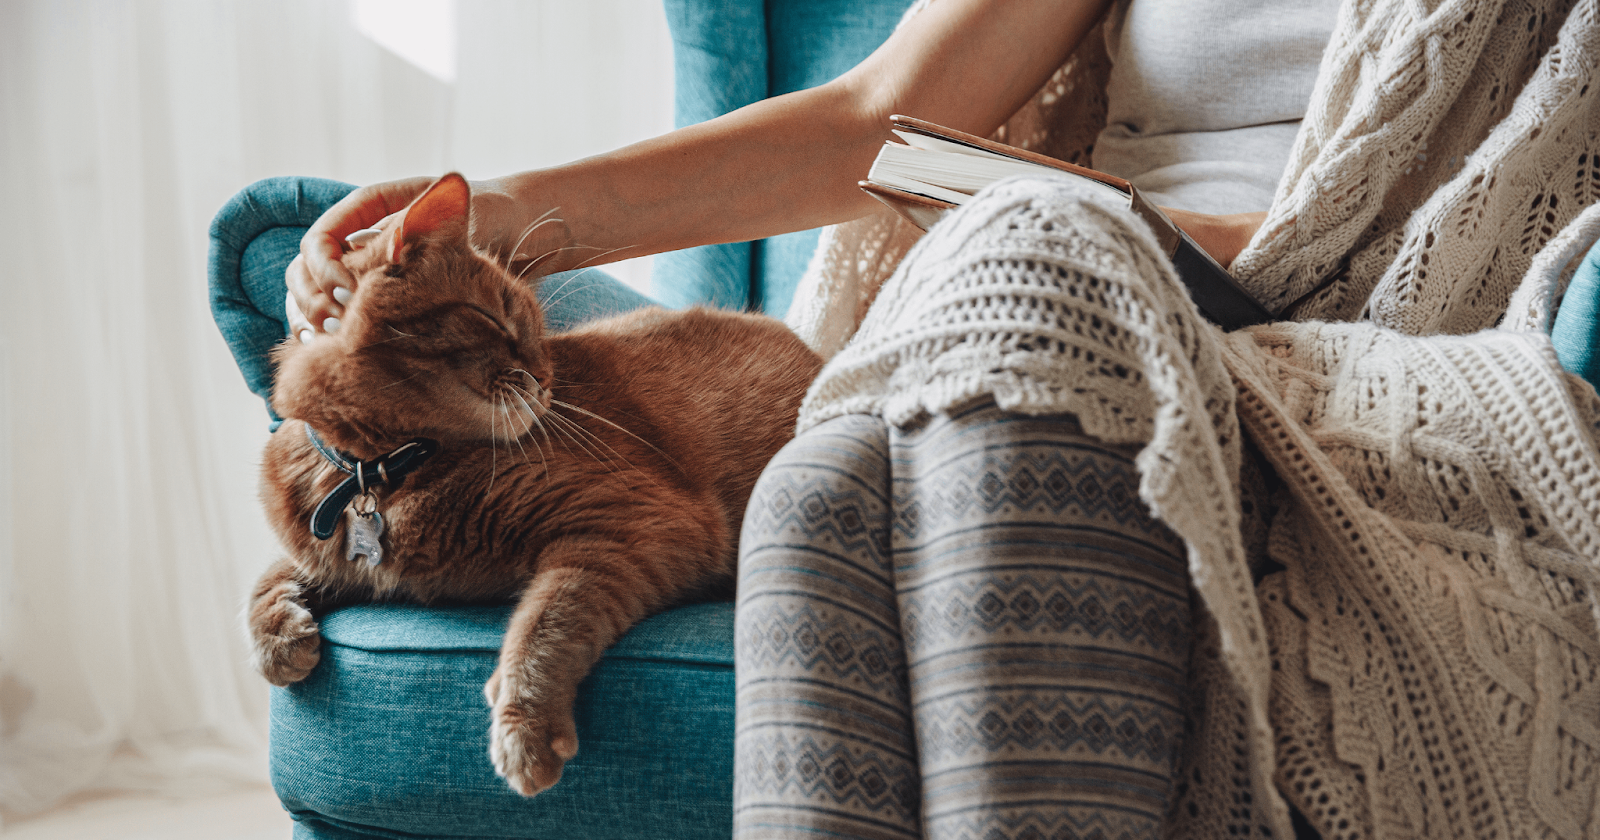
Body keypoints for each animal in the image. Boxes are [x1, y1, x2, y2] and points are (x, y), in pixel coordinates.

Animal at [252, 172, 825, 793]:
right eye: (497, 318)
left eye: (539, 329)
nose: (548, 378)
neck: (381, 472)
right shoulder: (334, 559)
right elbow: (272, 577)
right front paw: (279, 639)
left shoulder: (639, 523)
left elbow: (549, 615)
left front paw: (524, 723)